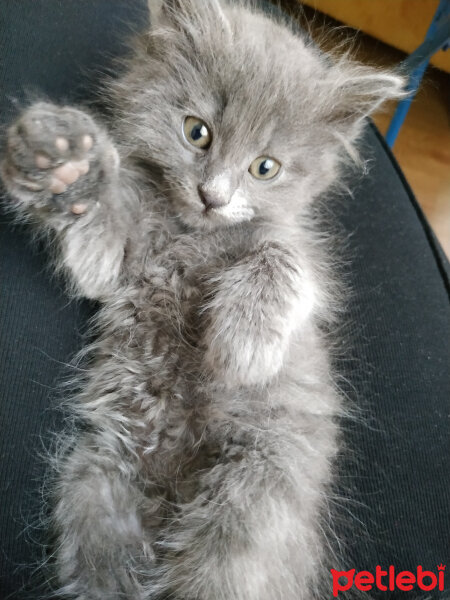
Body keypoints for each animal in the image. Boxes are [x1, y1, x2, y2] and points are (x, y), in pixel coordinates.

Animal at [0, 1, 404, 600]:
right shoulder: (124, 253)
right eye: (197, 132)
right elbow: (100, 240)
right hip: (97, 490)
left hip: (249, 508)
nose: (213, 195)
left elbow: (282, 260)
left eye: (265, 167)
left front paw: (244, 347)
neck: (193, 235)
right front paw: (66, 168)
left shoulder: (303, 252)